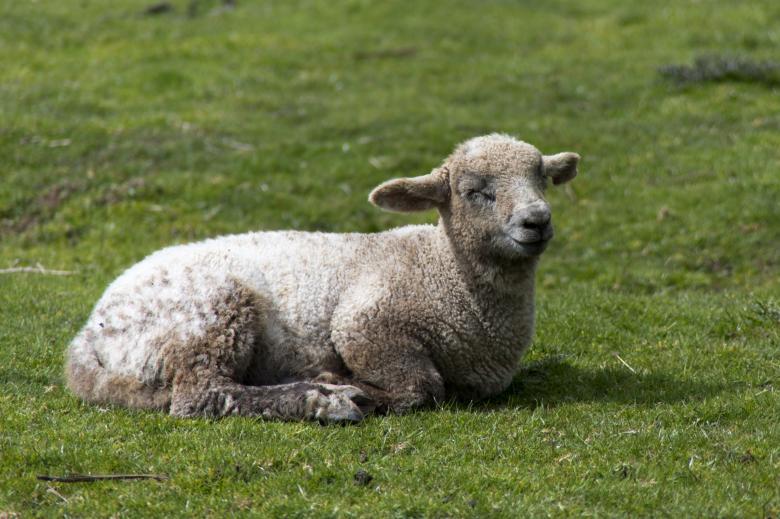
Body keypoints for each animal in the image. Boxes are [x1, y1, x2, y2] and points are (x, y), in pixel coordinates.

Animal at [65, 133, 580, 422]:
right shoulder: (366, 323)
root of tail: (90, 332)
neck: (444, 271)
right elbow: (422, 387)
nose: (537, 221)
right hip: (209, 316)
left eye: (542, 180)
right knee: (203, 395)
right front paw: (355, 387)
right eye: (476, 192)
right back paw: (324, 400)